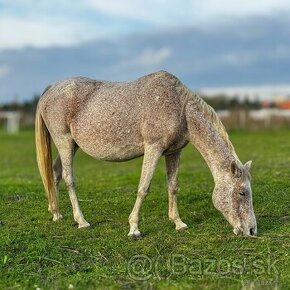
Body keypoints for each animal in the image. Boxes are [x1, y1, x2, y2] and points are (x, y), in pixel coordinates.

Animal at [35, 70, 258, 238]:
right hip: (64, 142)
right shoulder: (153, 148)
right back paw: (81, 221)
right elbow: (143, 188)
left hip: (72, 146)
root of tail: (50, 89)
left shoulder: (174, 151)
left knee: (54, 173)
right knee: (68, 178)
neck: (180, 109)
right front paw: (134, 228)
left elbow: (173, 186)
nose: (252, 230)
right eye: (242, 192)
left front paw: (178, 223)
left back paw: (56, 213)